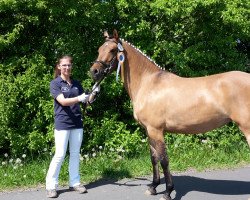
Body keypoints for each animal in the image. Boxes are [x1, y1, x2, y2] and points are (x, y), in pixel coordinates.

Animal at [89, 29, 250, 200]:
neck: (148, 84)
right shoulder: (149, 131)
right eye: (99, 49)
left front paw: (167, 192)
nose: (94, 72)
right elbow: (154, 158)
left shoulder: (156, 130)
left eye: (113, 50)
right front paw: (153, 187)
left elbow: (164, 160)